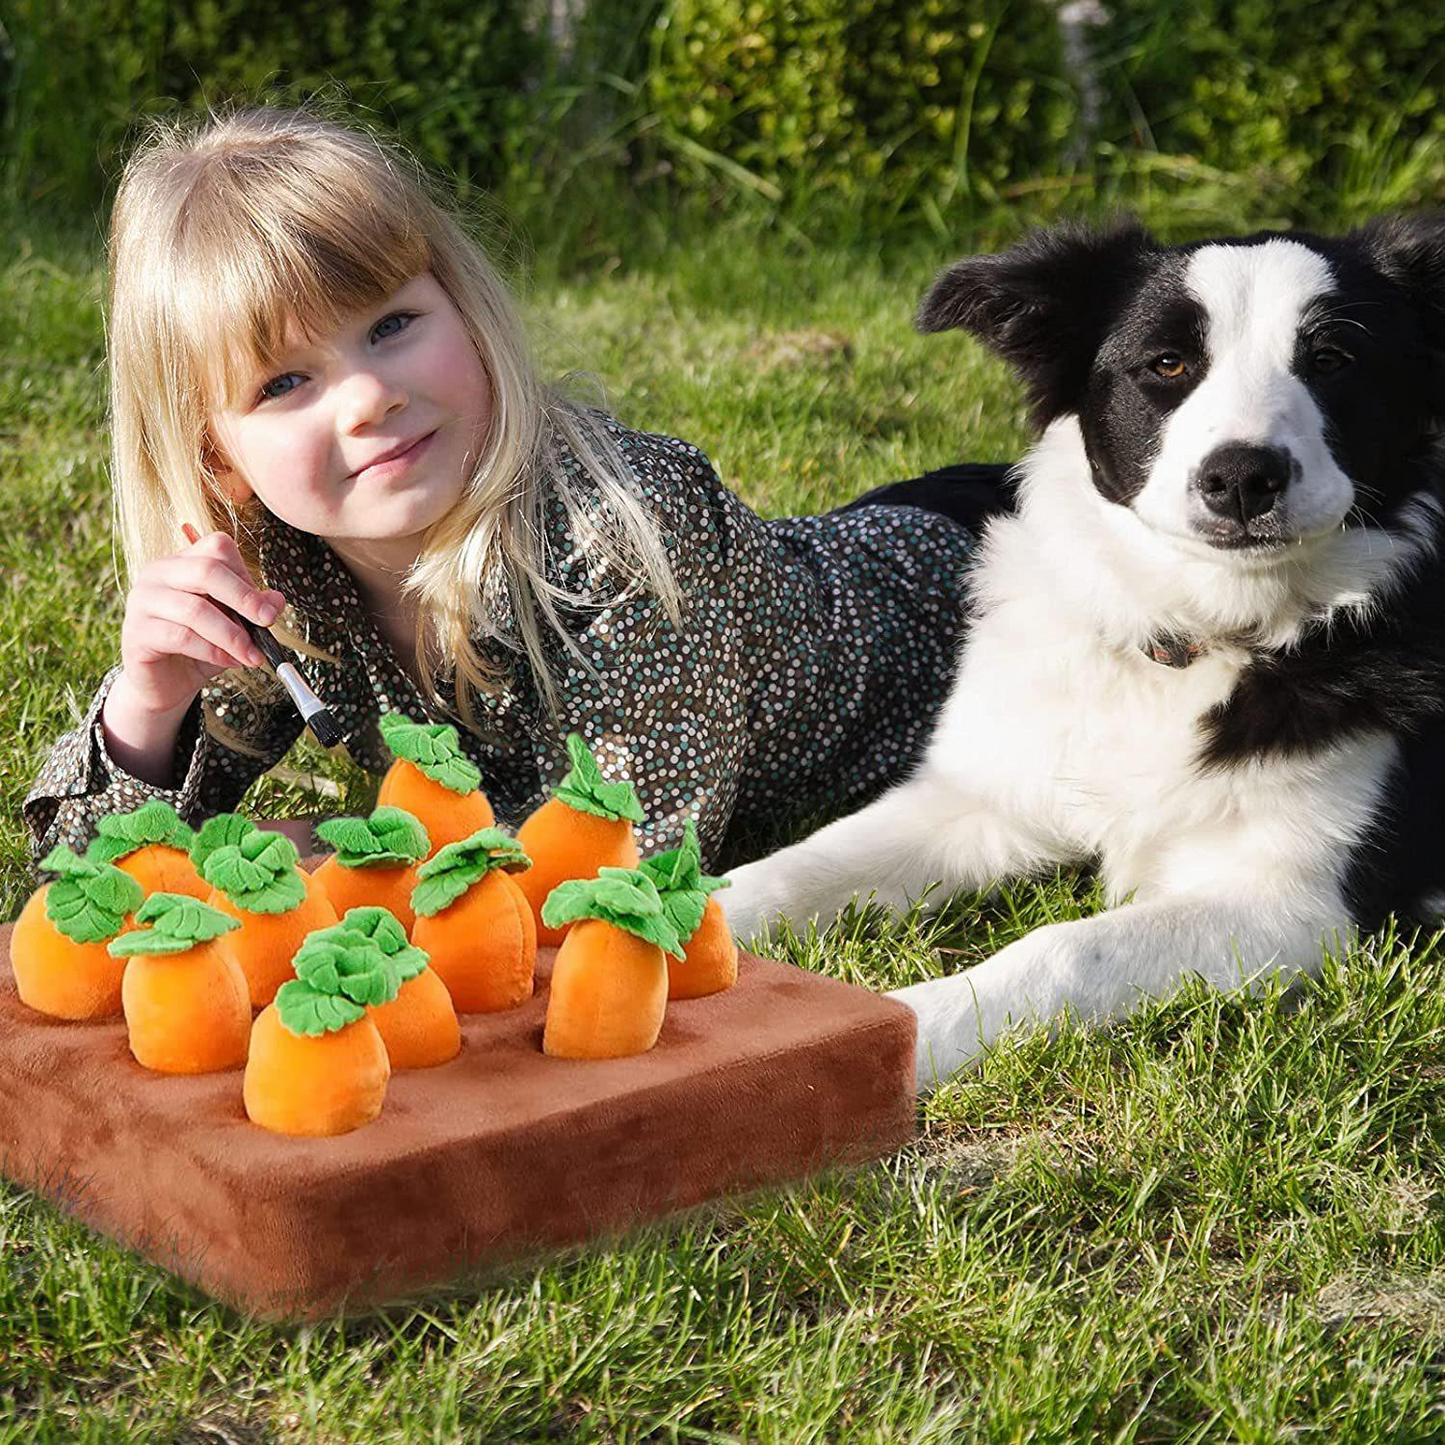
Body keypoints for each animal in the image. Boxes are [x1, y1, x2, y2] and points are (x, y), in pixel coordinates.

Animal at [719, 213, 1445, 1092]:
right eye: (1166, 363)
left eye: (1332, 359)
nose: (1242, 478)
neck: (1189, 639)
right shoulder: (976, 794)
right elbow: (786, 868)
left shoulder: (1298, 904)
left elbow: (1062, 948)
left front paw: (890, 1041)